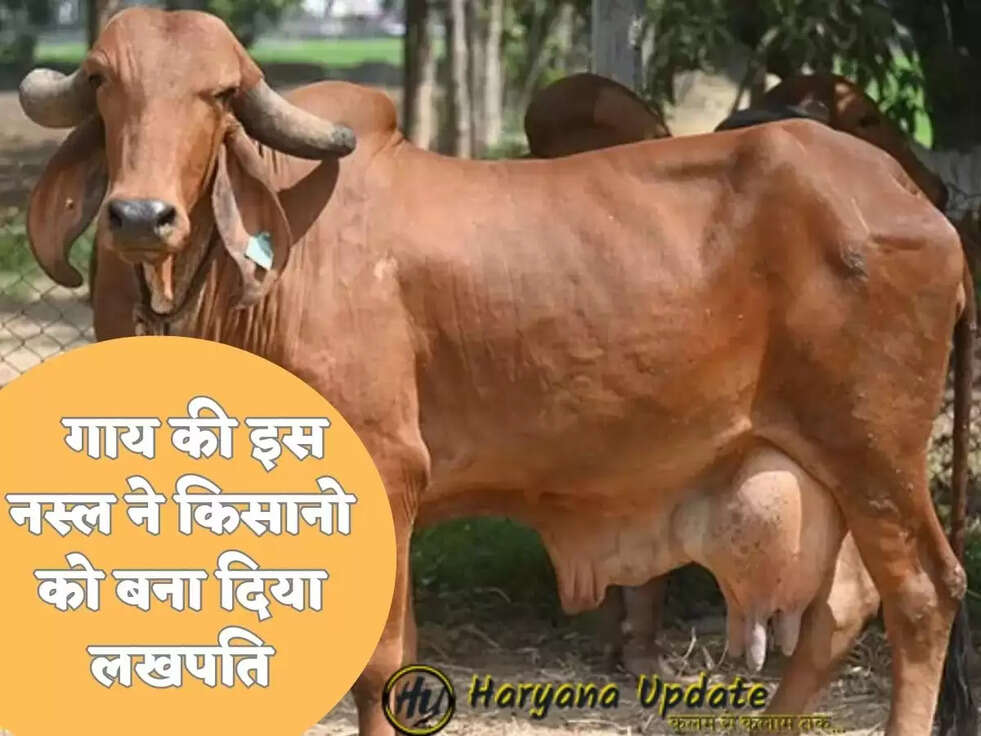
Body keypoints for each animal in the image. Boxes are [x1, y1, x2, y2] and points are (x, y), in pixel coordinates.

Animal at [18, 10, 974, 736]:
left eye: (219, 96)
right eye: (101, 82)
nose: (140, 215)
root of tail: (910, 194)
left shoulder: (383, 468)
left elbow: (379, 665)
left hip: (874, 451)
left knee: (921, 594)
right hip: (825, 466)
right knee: (842, 608)